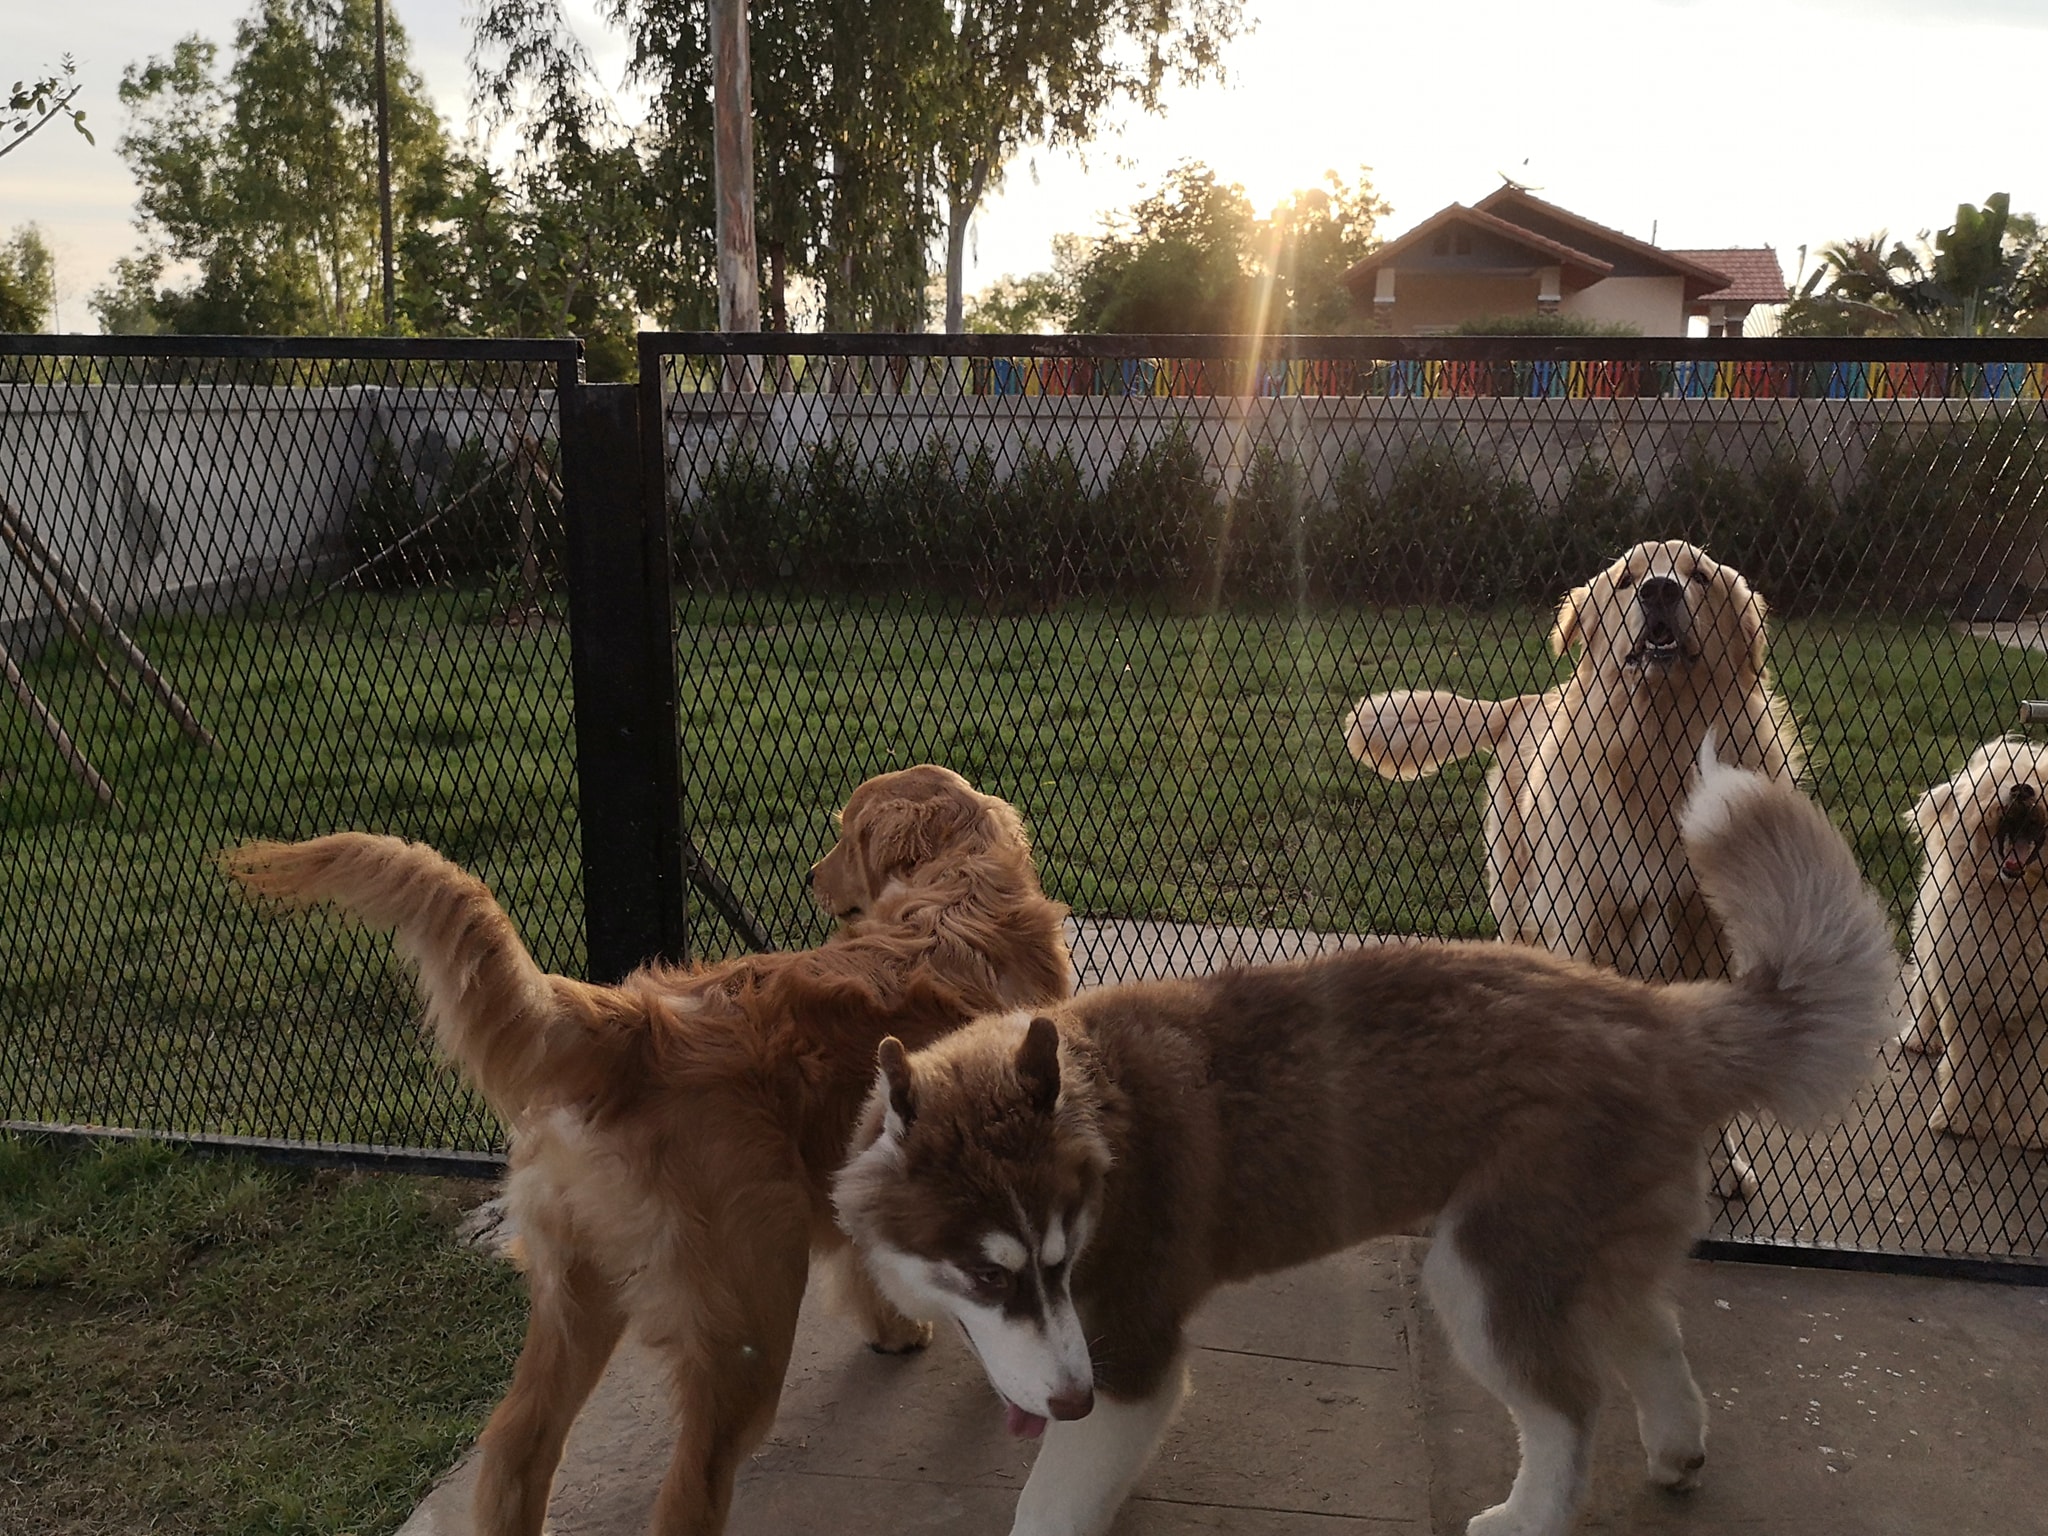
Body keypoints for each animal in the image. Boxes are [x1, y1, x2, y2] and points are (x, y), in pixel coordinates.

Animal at [222, 765, 1071, 1536]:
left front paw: (891, 1331)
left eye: (845, 836)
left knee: (515, 1445)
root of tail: (629, 1025)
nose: (809, 875)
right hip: (746, 1315)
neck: (956, 886)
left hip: (574, 1291)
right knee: (688, 1490)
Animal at [834, 748, 1895, 1536]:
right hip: (1580, 1246)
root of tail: (1653, 1013)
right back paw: (1677, 1450)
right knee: (1653, 1332)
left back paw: (1527, 1516)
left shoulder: (1133, 1356)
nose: (1068, 1403)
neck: (1100, 1117)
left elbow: (1051, 1503)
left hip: (1482, 1270)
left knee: (1570, 1407)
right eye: (988, 1275)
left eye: (1056, 1261)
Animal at [1343, 538, 1803, 1199]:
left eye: (1699, 576)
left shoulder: (1709, 936)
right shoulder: (1582, 917)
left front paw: (1720, 1163)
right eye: (1626, 581)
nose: (1659, 589)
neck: (1659, 748)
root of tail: (1524, 703)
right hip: (1517, 899)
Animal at [1901, 735, 2048, 1149]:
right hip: (1927, 950)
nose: (2022, 790)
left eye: (2043, 778)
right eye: (1995, 781)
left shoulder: (2038, 1017)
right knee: (1923, 995)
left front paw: (2030, 1132)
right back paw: (1920, 1038)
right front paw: (1958, 1121)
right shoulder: (1966, 1000)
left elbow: (2032, 1079)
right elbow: (1967, 1067)